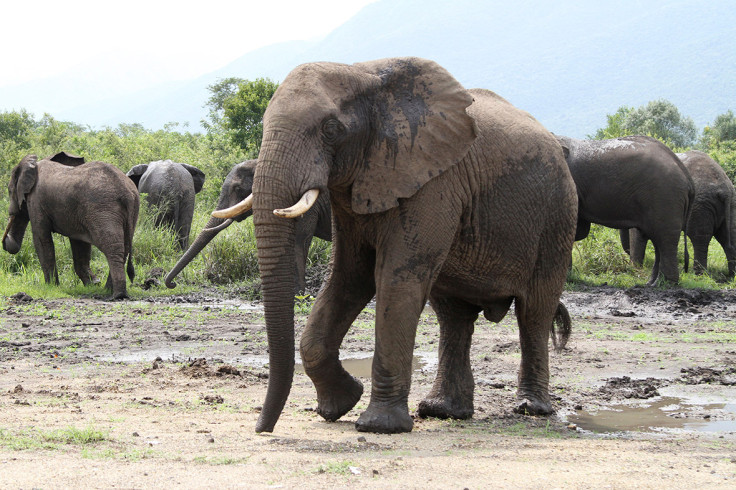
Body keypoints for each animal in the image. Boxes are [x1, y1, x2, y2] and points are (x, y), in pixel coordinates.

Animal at [2, 152, 139, 298]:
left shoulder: (36, 200)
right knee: (124, 247)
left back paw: (116, 295)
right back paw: (108, 291)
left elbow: (41, 239)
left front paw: (51, 287)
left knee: (111, 246)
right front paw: (92, 284)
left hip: (103, 208)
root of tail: (126, 192)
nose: (5, 243)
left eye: (9, 191)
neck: (33, 165)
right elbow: (80, 244)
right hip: (130, 210)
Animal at [216, 58, 576, 436]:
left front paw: (378, 425)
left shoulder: (432, 179)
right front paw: (340, 405)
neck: (365, 73)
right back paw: (442, 411)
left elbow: (395, 278)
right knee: (453, 316)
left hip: (557, 218)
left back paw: (531, 408)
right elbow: (348, 278)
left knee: (534, 311)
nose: (262, 428)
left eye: (331, 129)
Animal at [556, 136, 696, 286]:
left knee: (664, 238)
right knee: (657, 239)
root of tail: (687, 177)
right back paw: (652, 283)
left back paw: (665, 284)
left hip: (665, 197)